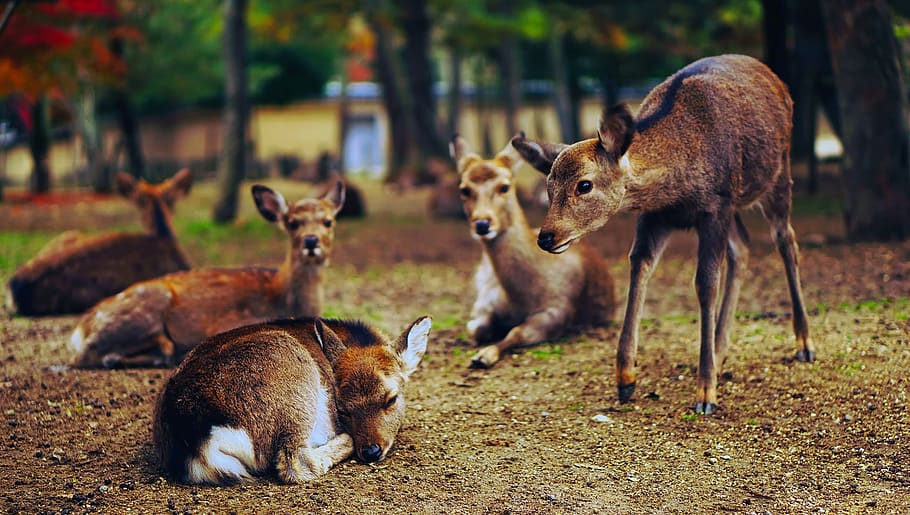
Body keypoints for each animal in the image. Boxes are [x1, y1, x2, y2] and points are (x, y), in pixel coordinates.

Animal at [68, 181, 345, 369]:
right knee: (88, 356)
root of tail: (80, 329)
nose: (311, 241)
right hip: (142, 310)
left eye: (328, 221)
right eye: (292, 222)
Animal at [153, 315, 431, 484]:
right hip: (293, 384)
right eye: (342, 409)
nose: (371, 451)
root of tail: (196, 444)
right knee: (295, 463)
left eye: (391, 399)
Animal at [451, 135, 616, 368]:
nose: (482, 224)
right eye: (464, 189)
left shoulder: (558, 310)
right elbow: (476, 327)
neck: (519, 298)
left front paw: (484, 356)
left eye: (504, 186)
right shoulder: (486, 301)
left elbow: (517, 332)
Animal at [511, 54, 813, 415]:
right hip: (737, 206)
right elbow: (639, 267)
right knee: (743, 246)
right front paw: (625, 379)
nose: (546, 236)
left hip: (778, 175)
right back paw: (720, 349)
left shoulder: (715, 206)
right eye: (548, 186)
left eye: (584, 185)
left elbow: (705, 284)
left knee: (786, 241)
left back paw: (804, 344)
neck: (675, 187)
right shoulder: (657, 216)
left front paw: (705, 393)